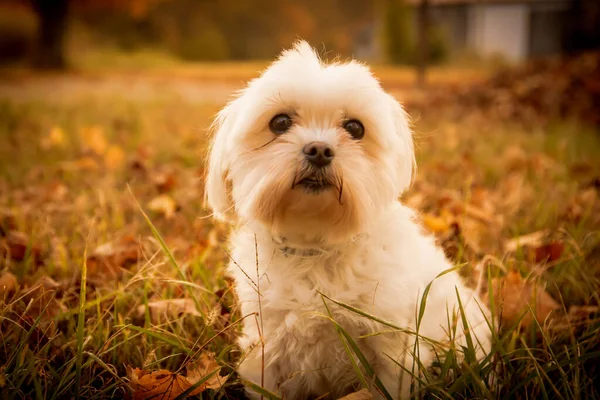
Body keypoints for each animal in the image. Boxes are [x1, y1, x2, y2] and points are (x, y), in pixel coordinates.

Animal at [204, 42, 490, 398]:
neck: (316, 247)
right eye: (279, 122)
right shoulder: (266, 351)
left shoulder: (394, 350)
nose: (319, 149)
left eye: (355, 128)